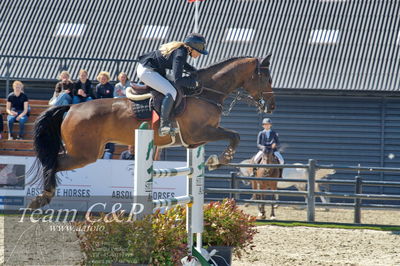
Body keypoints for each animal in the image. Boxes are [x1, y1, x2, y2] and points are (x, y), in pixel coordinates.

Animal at [28, 55, 276, 208]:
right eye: (266, 78)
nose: (271, 106)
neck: (205, 92)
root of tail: (71, 108)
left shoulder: (195, 141)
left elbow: (233, 135)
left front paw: (216, 160)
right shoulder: (200, 132)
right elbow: (234, 135)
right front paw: (219, 160)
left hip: (88, 152)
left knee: (54, 161)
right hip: (84, 154)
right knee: (53, 162)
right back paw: (42, 198)